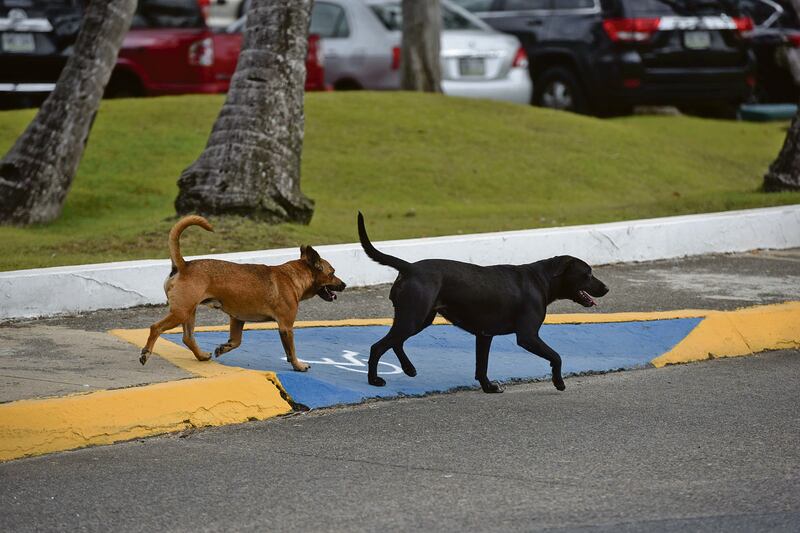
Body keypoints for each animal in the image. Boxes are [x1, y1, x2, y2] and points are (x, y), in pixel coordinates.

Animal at [139, 216, 346, 370]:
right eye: (332, 273)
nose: (343, 285)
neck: (293, 276)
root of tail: (183, 265)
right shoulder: (286, 327)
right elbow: (291, 351)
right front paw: (298, 365)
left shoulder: (237, 319)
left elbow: (236, 341)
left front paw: (223, 348)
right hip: (181, 312)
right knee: (155, 328)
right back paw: (145, 353)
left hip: (189, 312)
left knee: (187, 337)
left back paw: (202, 356)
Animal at [360, 212, 608, 390]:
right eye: (587, 274)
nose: (606, 288)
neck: (543, 280)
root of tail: (409, 267)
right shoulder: (527, 336)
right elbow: (556, 356)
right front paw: (559, 382)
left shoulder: (484, 335)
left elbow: (482, 366)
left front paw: (488, 387)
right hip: (413, 317)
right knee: (378, 346)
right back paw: (374, 380)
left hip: (420, 318)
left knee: (396, 342)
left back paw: (409, 369)